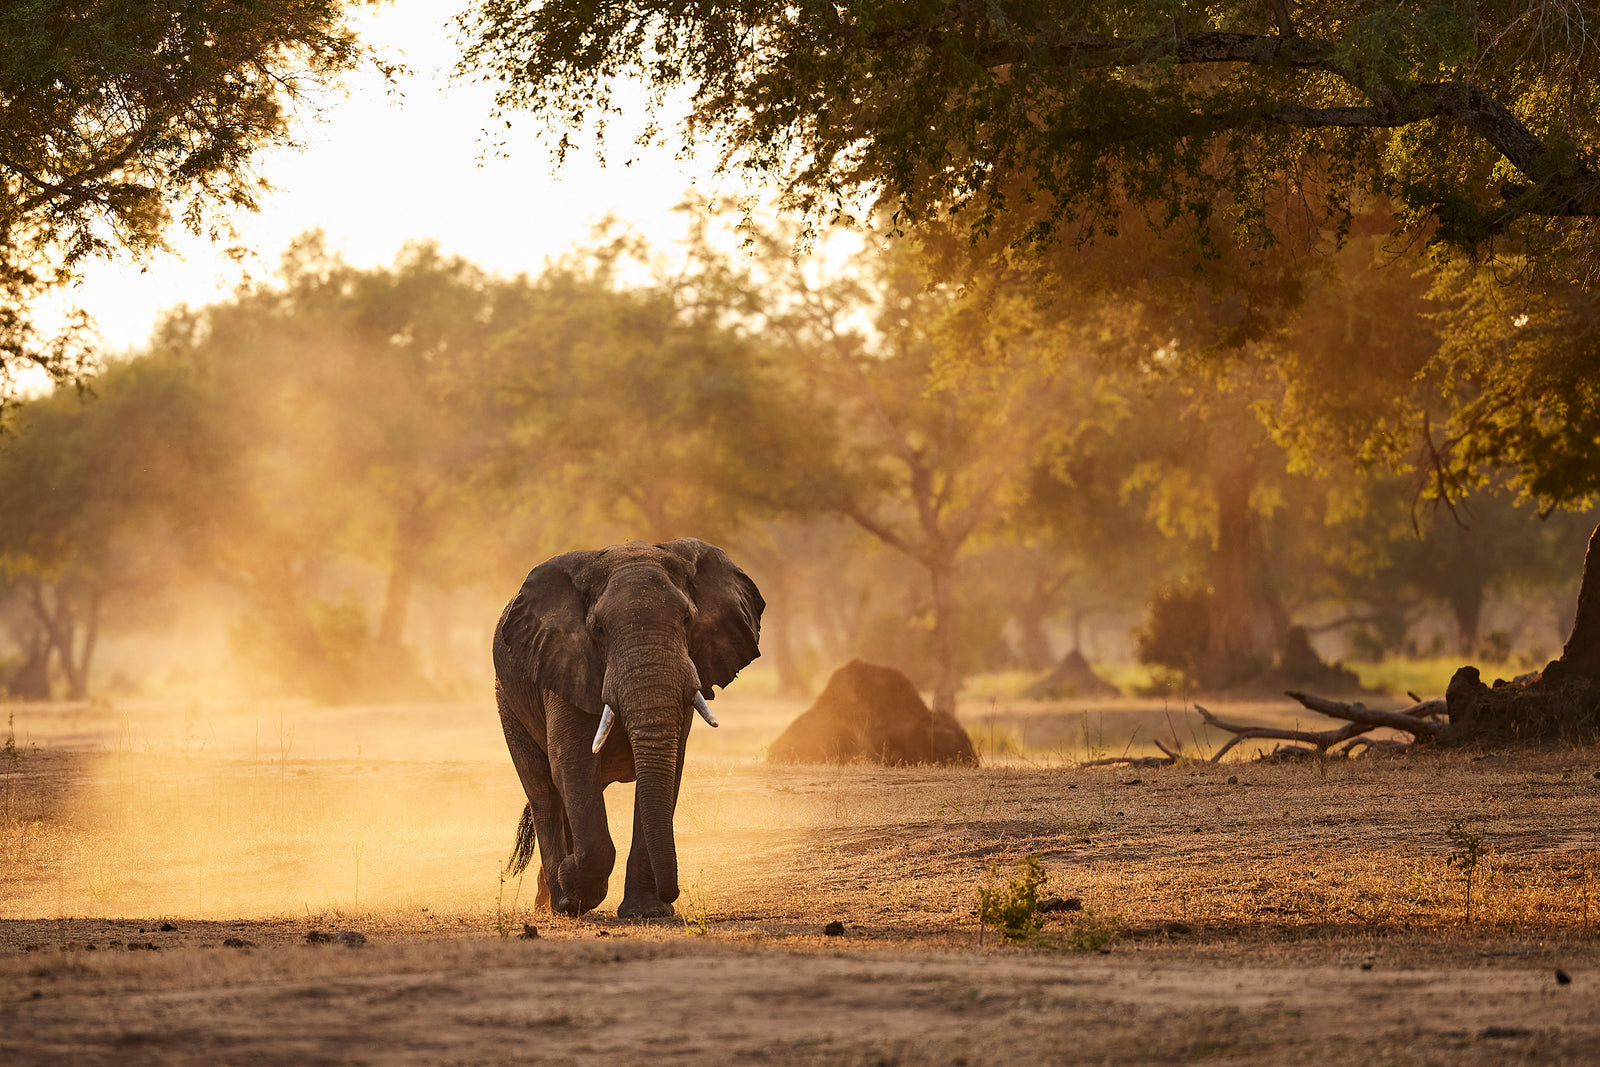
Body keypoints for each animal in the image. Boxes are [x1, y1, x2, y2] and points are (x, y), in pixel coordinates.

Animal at [493, 538, 764, 918]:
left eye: (687, 619)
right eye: (598, 630)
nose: (673, 894)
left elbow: (668, 769)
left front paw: (646, 912)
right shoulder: (565, 665)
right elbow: (573, 765)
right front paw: (574, 888)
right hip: (508, 701)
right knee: (543, 790)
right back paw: (557, 902)